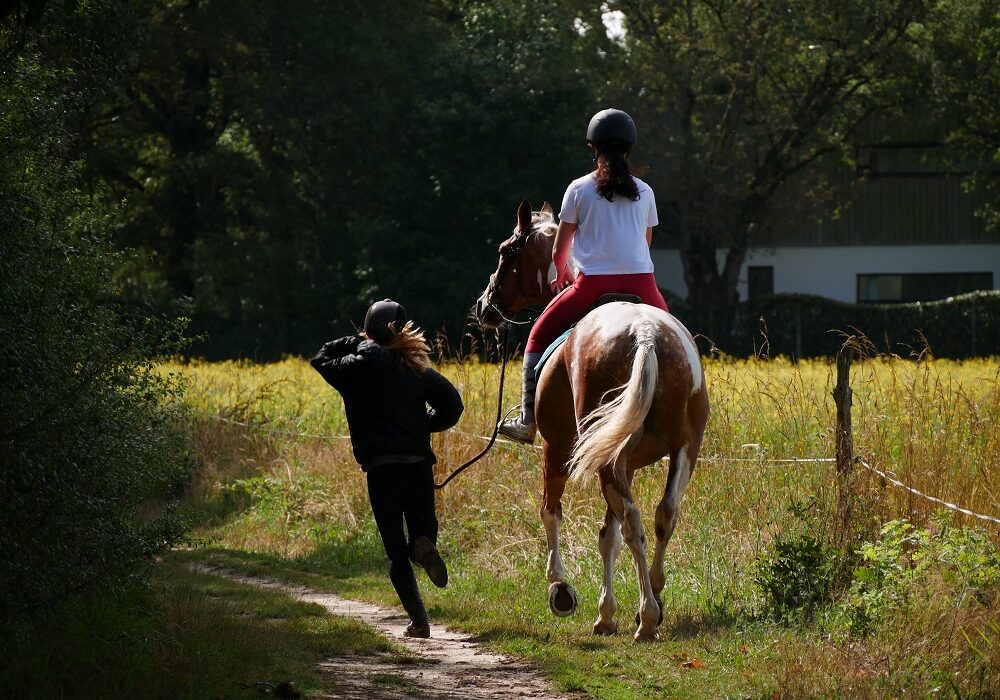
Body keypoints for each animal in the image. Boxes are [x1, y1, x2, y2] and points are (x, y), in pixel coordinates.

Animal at [476, 198, 712, 640]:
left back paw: (647, 618)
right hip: (681, 450)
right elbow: (608, 537)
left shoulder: (556, 449)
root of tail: (645, 332)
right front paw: (606, 614)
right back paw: (654, 598)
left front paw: (560, 588)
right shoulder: (625, 462)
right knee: (663, 515)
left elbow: (551, 511)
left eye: (506, 251)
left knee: (634, 521)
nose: (485, 305)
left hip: (598, 455)